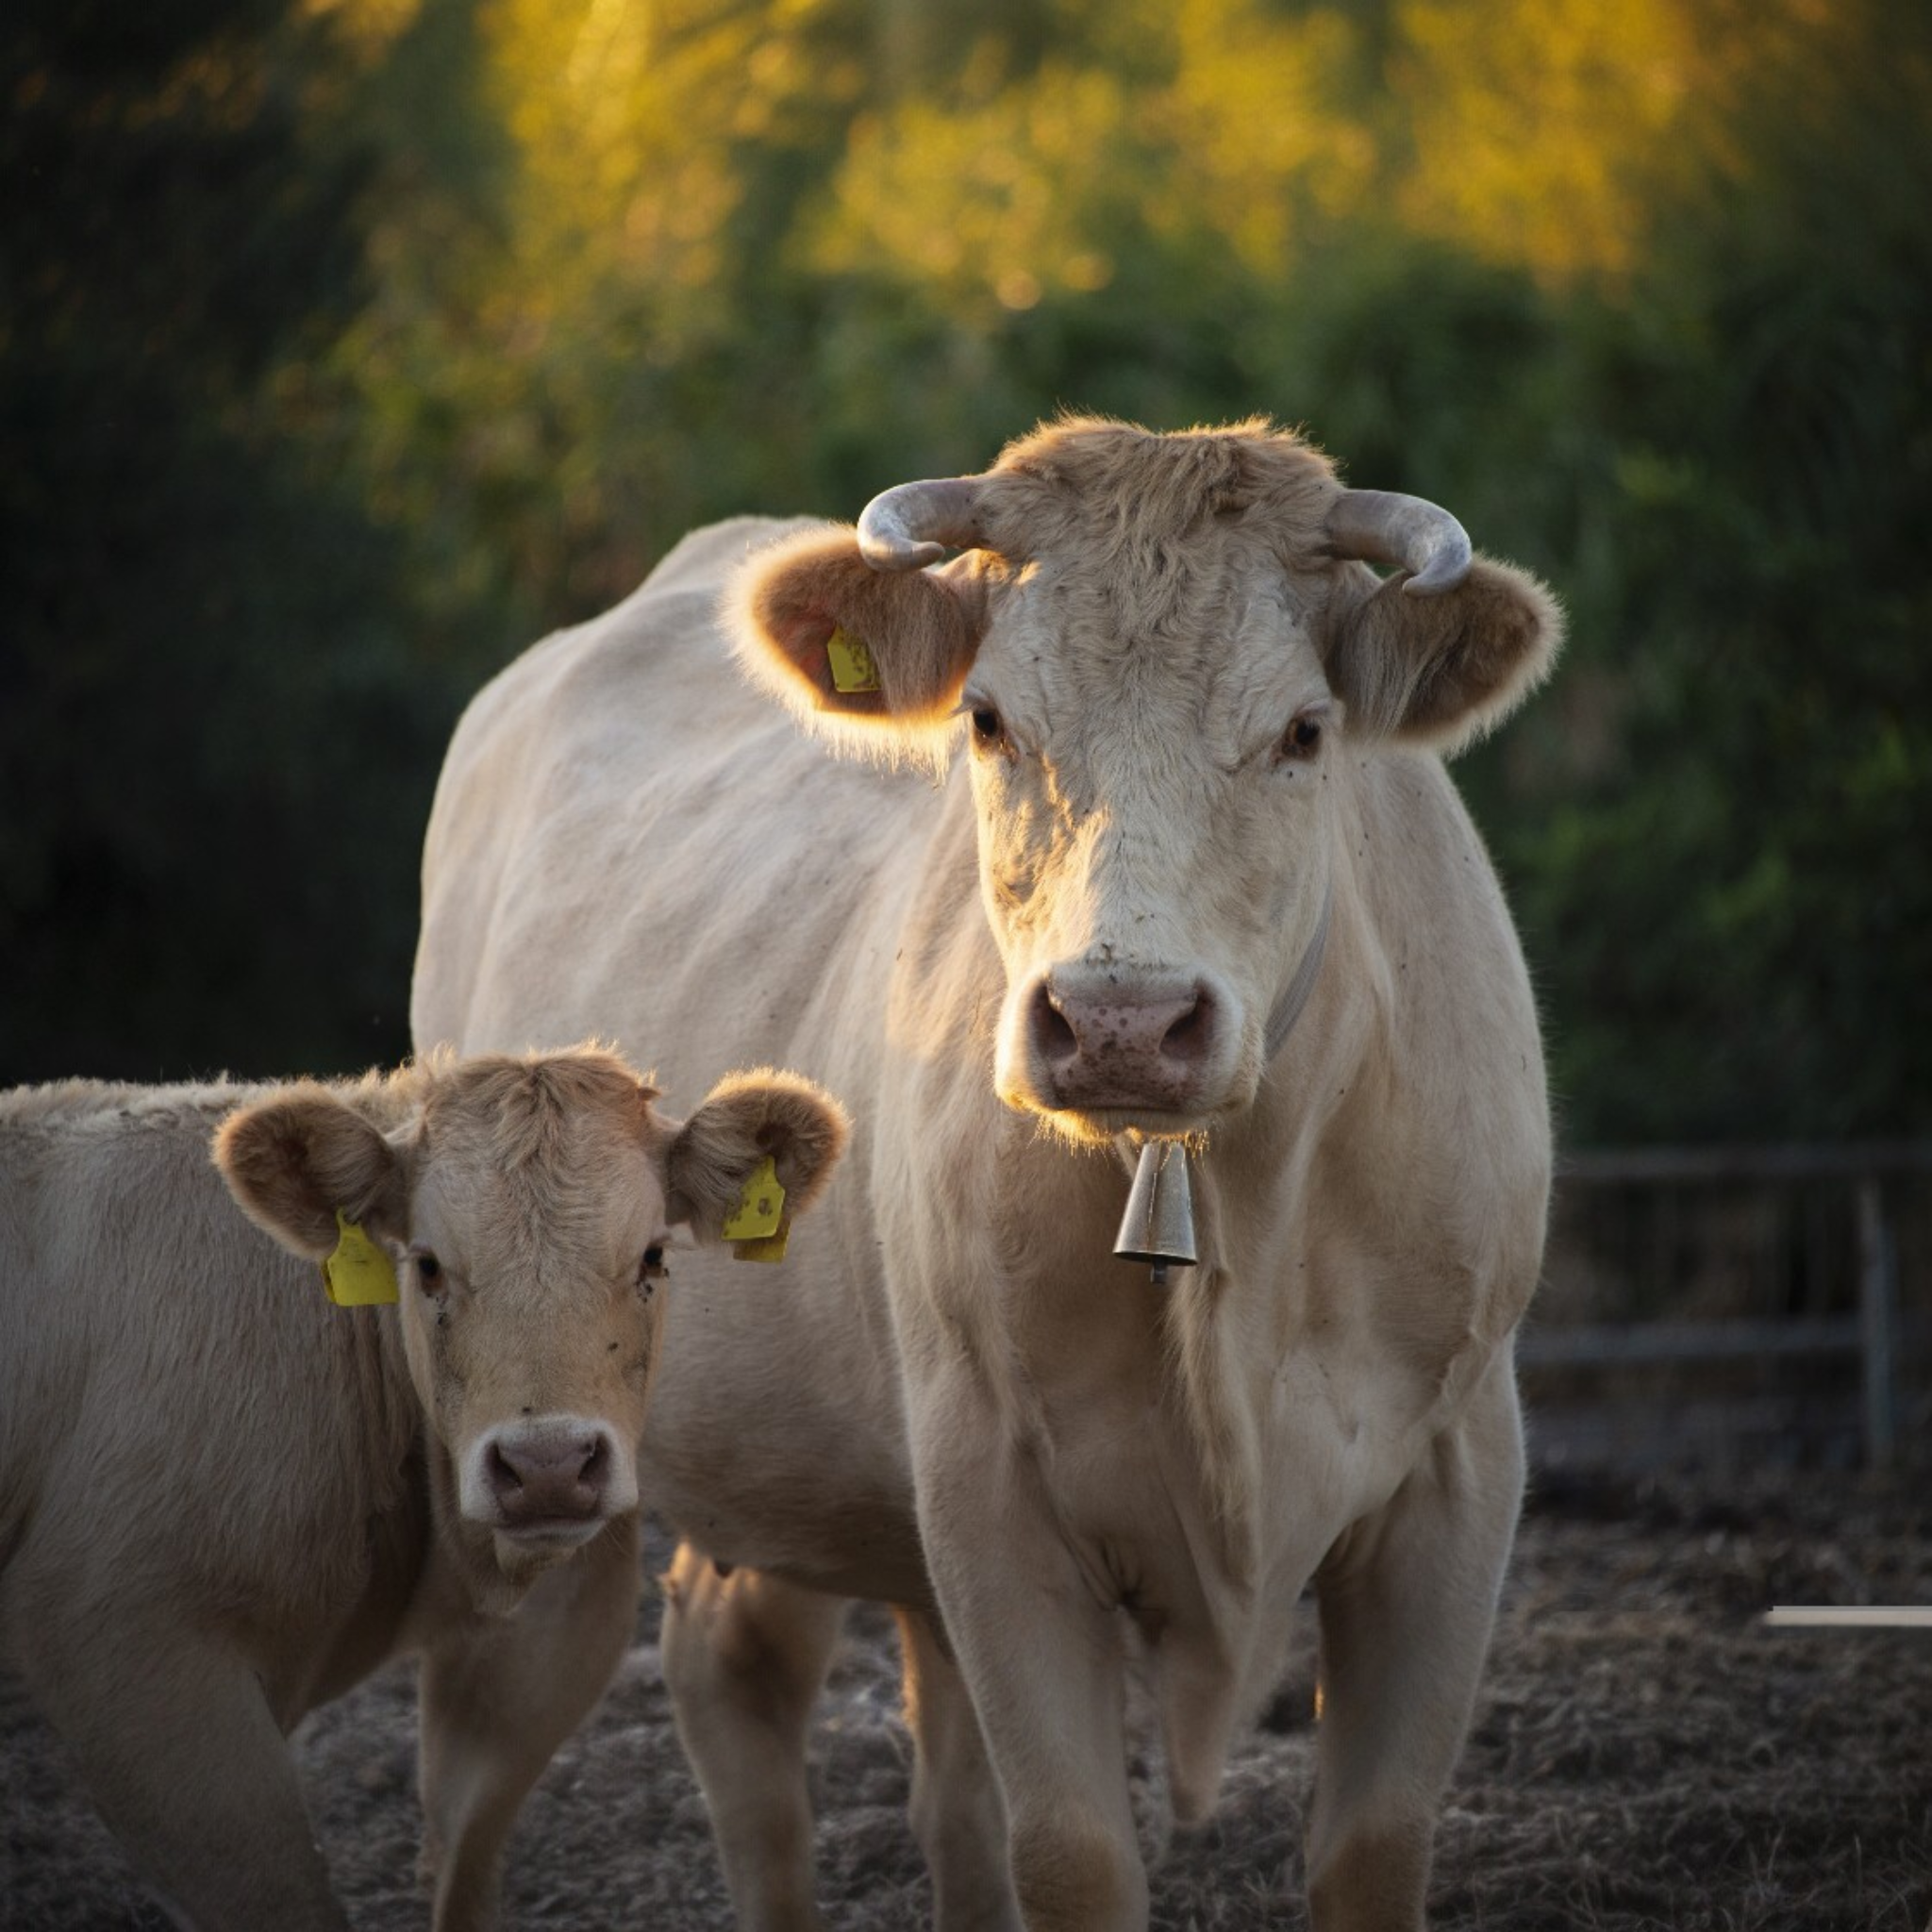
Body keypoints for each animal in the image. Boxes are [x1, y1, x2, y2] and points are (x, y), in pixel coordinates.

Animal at [412, 416, 1563, 1931]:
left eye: (1305, 731)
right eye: (990, 720)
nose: (1122, 1018)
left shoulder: (1455, 1473)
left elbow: (1370, 1844)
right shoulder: (990, 1487)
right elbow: (1069, 1849)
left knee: (803, 1690)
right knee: (526, 1752)